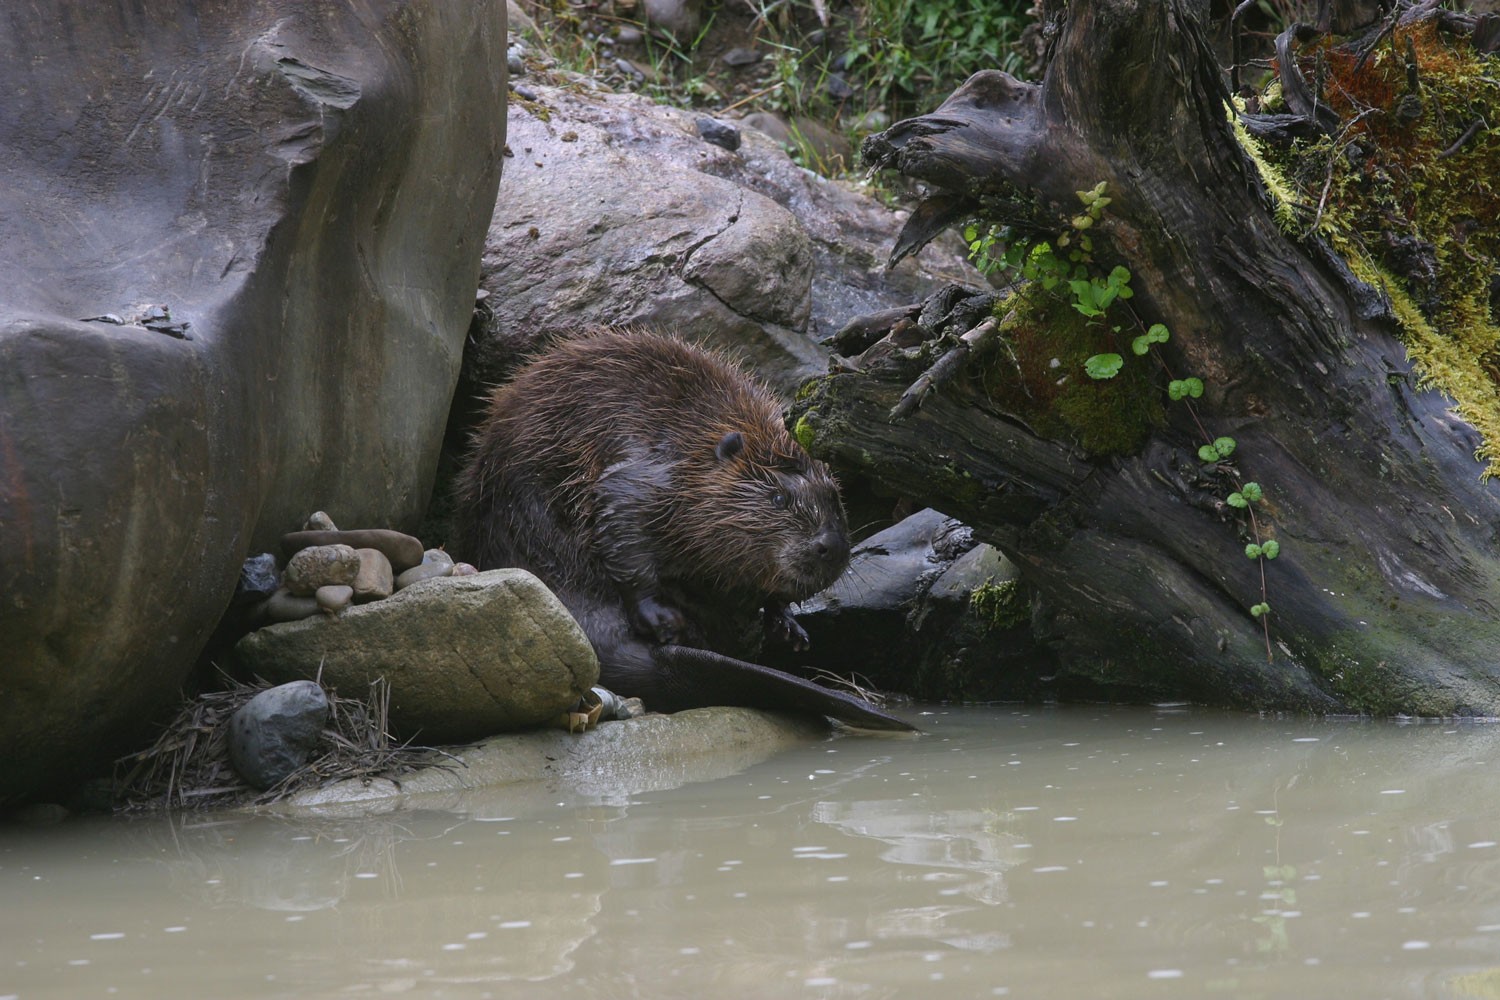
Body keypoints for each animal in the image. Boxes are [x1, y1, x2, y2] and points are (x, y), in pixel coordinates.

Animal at [450, 332, 906, 731]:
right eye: (778, 498)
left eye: (836, 500)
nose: (830, 547)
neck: (700, 439)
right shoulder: (655, 471)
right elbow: (619, 505)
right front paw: (663, 618)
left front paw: (789, 628)